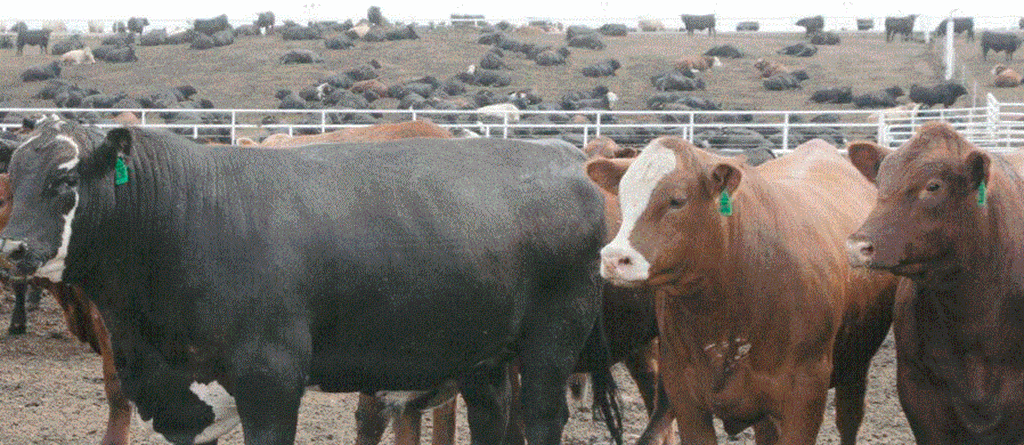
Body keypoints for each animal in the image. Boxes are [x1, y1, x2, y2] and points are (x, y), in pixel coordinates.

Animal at [0, 117, 614, 445]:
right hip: (482, 353)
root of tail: (563, 154)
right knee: (492, 412)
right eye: (14, 174)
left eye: (66, 178)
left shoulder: (270, 379)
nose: (13, 248)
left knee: (542, 415)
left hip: (552, 342)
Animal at [585, 138, 897, 443]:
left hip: (855, 368)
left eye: (677, 200)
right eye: (622, 199)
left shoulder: (805, 395)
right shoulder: (684, 394)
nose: (614, 258)